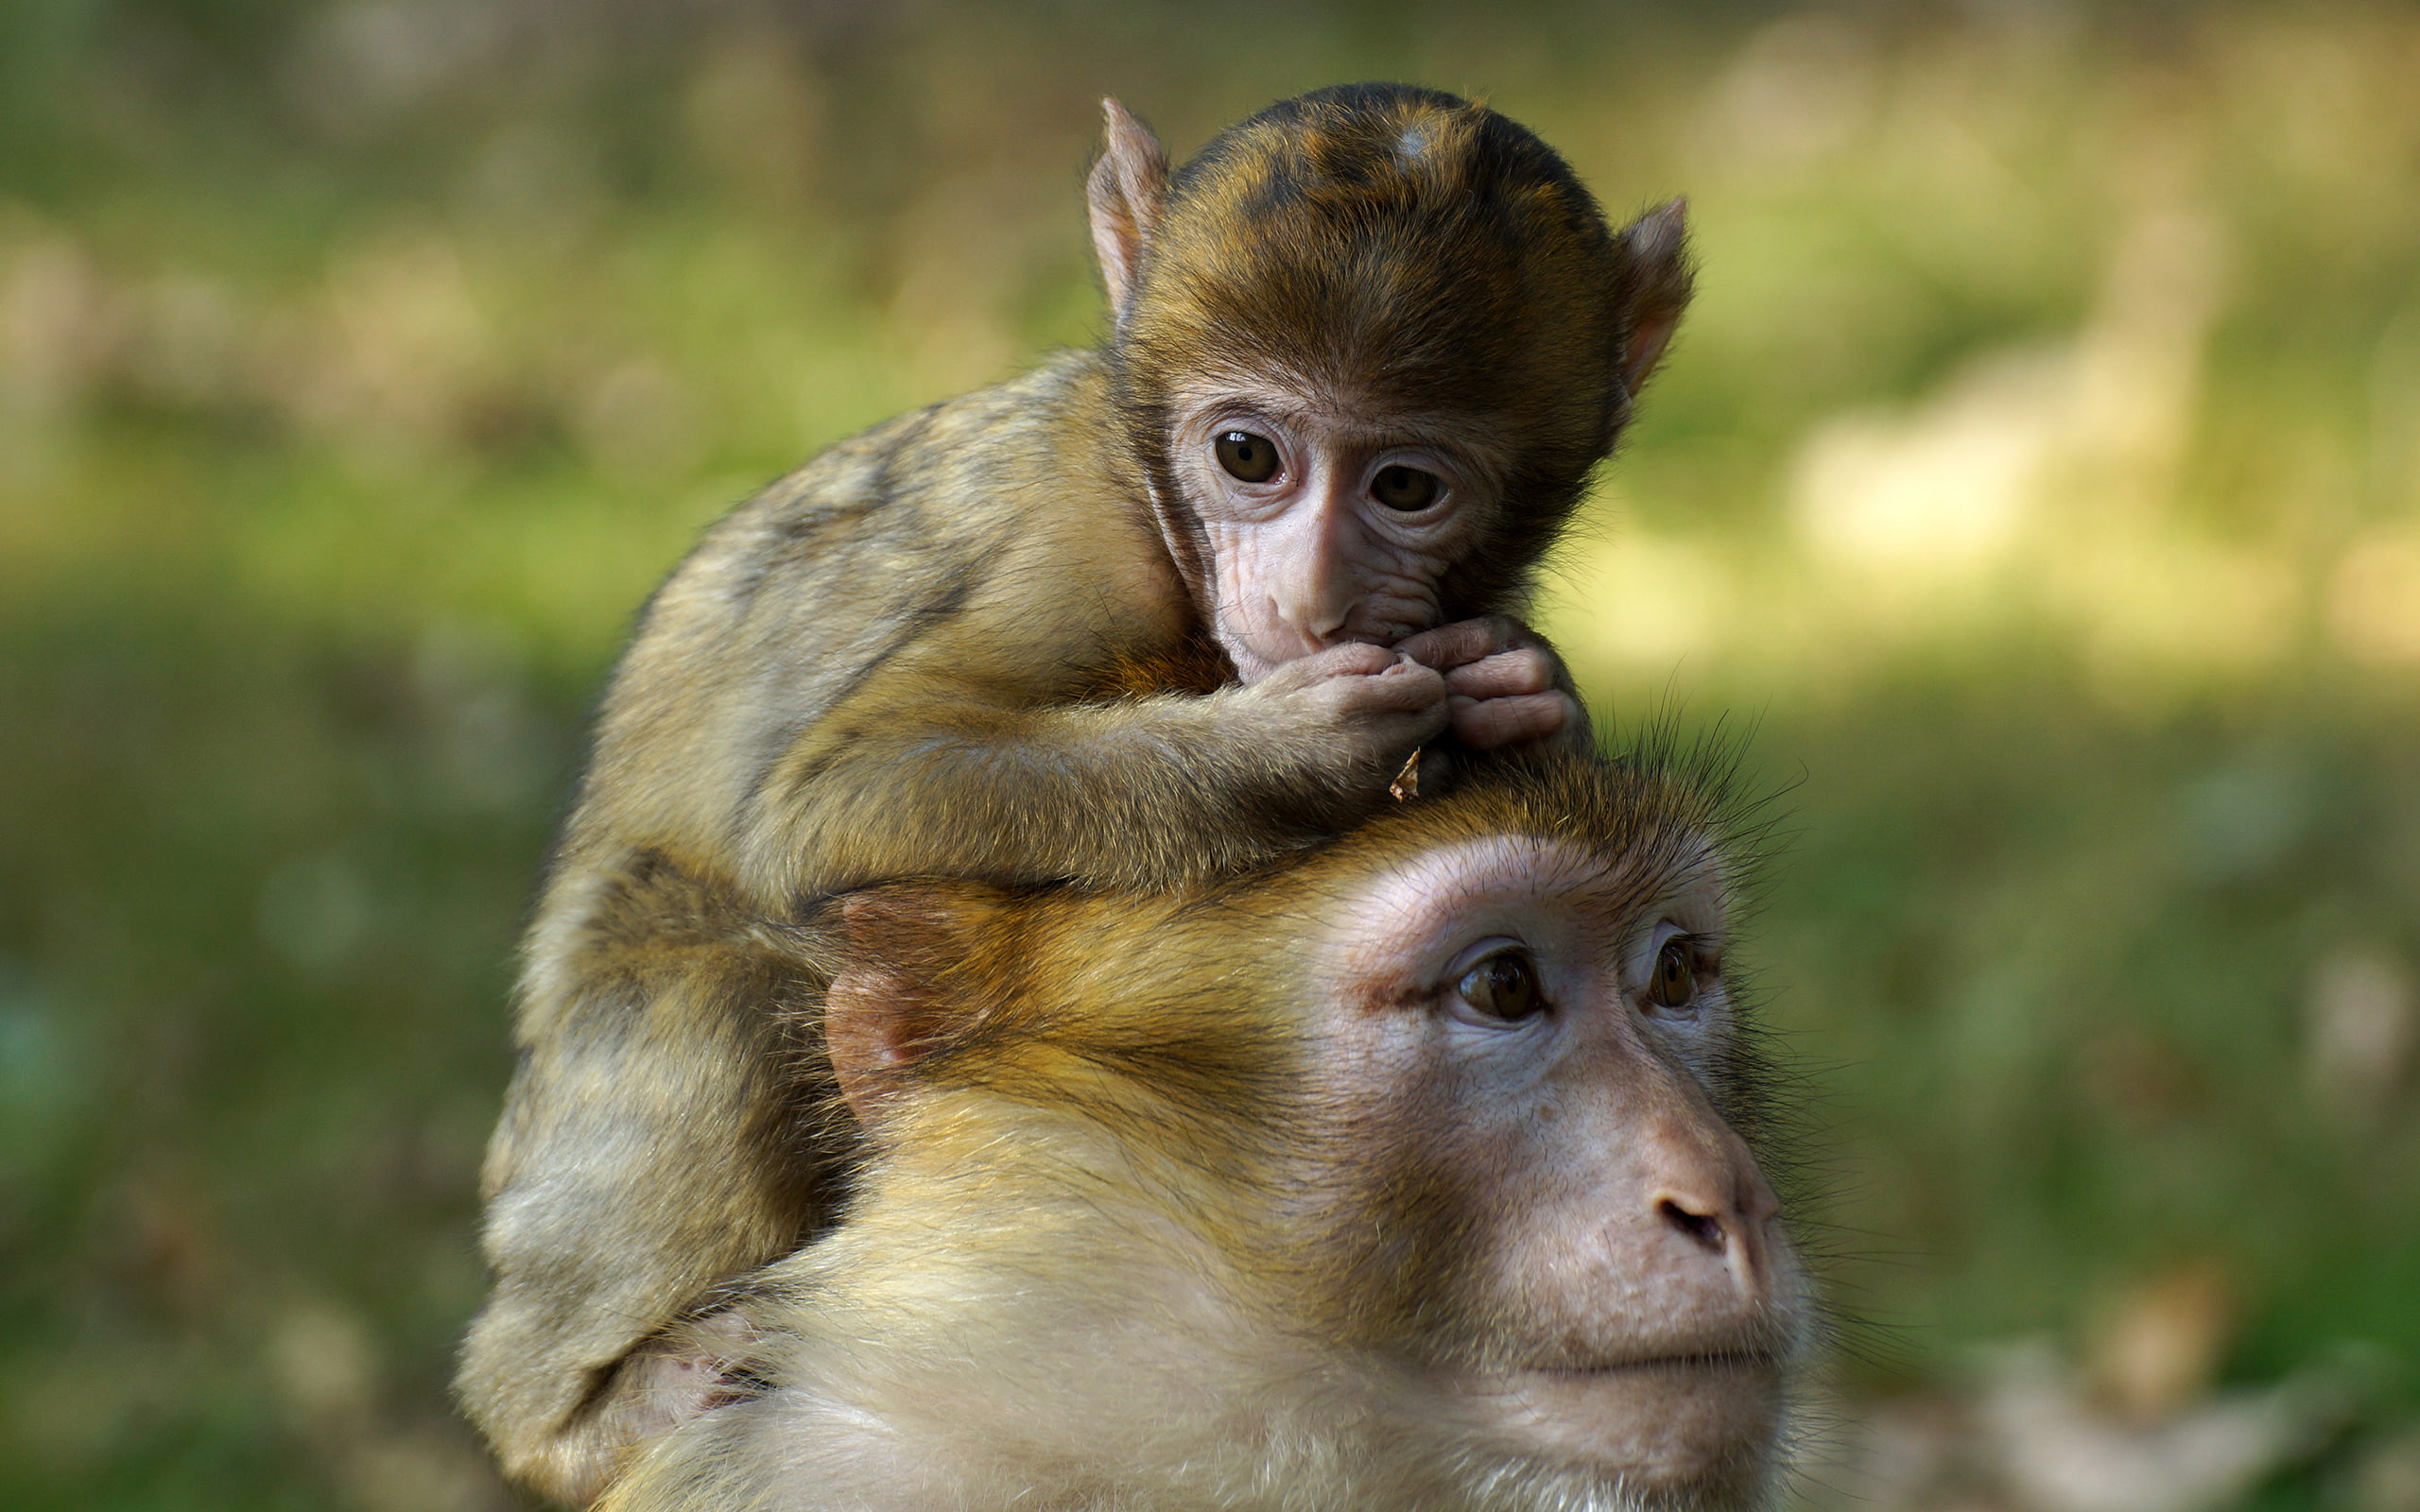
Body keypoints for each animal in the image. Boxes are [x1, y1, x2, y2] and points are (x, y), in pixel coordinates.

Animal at [461, 83, 1697, 1503]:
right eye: (1248, 455)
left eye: (1405, 486)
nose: (1312, 595)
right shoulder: (1081, 540)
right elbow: (837, 793)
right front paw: (1291, 751)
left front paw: (1524, 687)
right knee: (713, 1007)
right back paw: (570, 1409)